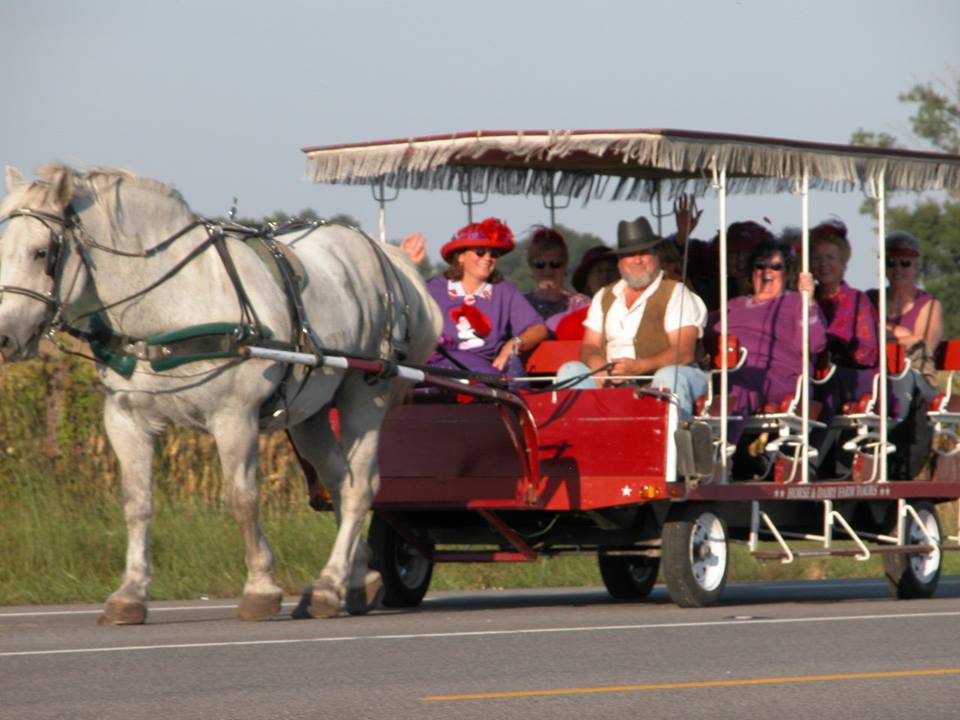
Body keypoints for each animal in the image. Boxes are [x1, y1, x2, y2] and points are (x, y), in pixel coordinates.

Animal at [0, 165, 442, 624]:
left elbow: (242, 498)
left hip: (365, 395)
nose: (4, 337)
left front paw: (261, 588)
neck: (170, 306)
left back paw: (327, 586)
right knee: (341, 479)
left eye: (40, 253)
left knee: (361, 487)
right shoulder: (125, 419)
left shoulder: (234, 417)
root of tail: (382, 255)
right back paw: (353, 580)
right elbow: (136, 504)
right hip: (311, 411)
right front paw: (130, 593)